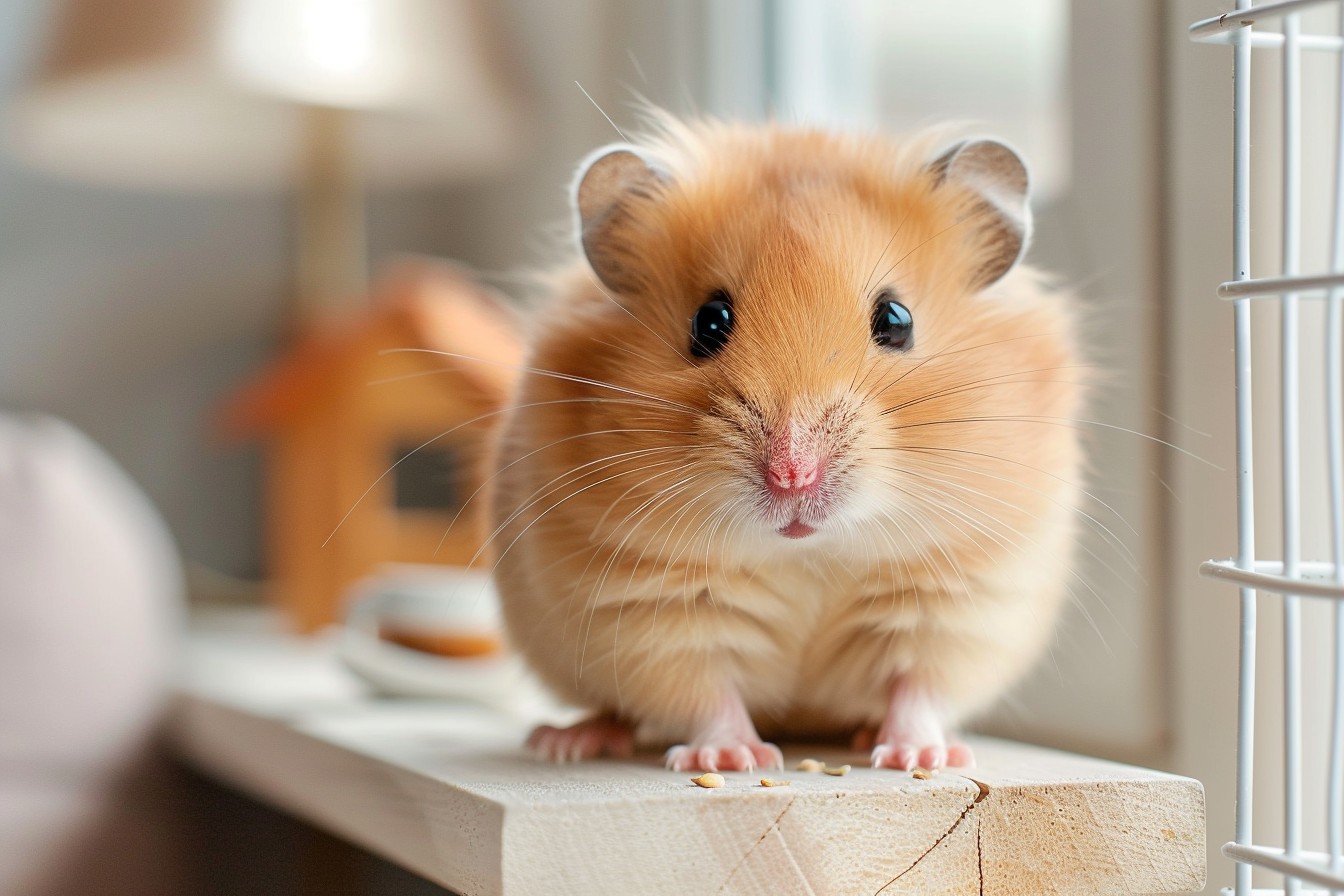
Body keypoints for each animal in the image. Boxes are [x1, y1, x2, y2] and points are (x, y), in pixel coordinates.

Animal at [488, 116, 1083, 773]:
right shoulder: (652, 610)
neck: (809, 555)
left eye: (896, 320)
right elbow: (706, 691)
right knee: (613, 708)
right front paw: (730, 760)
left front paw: (921, 758)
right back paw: (565, 741)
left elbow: (919, 686)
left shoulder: (959, 598)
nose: (793, 475)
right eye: (708, 322)